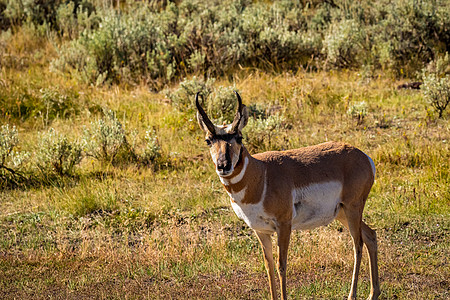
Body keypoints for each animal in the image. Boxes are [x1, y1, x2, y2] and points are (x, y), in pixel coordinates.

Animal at [196, 91, 380, 300]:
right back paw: (373, 294)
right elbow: (268, 267)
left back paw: (352, 295)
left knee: (358, 245)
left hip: (352, 209)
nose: (223, 166)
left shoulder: (284, 225)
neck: (261, 174)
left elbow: (281, 266)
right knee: (370, 236)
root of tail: (364, 157)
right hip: (342, 213)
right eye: (208, 140)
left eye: (239, 138)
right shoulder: (261, 231)